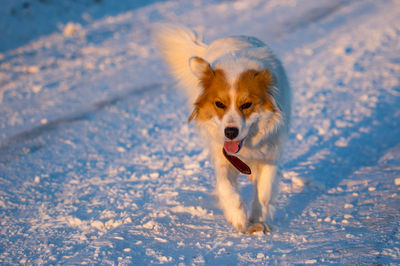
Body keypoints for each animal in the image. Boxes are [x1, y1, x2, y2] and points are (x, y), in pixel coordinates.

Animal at [153, 24, 290, 233]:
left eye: (247, 105)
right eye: (219, 104)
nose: (230, 132)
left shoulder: (271, 153)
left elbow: (264, 192)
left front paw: (259, 219)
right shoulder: (222, 155)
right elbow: (226, 187)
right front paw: (238, 216)